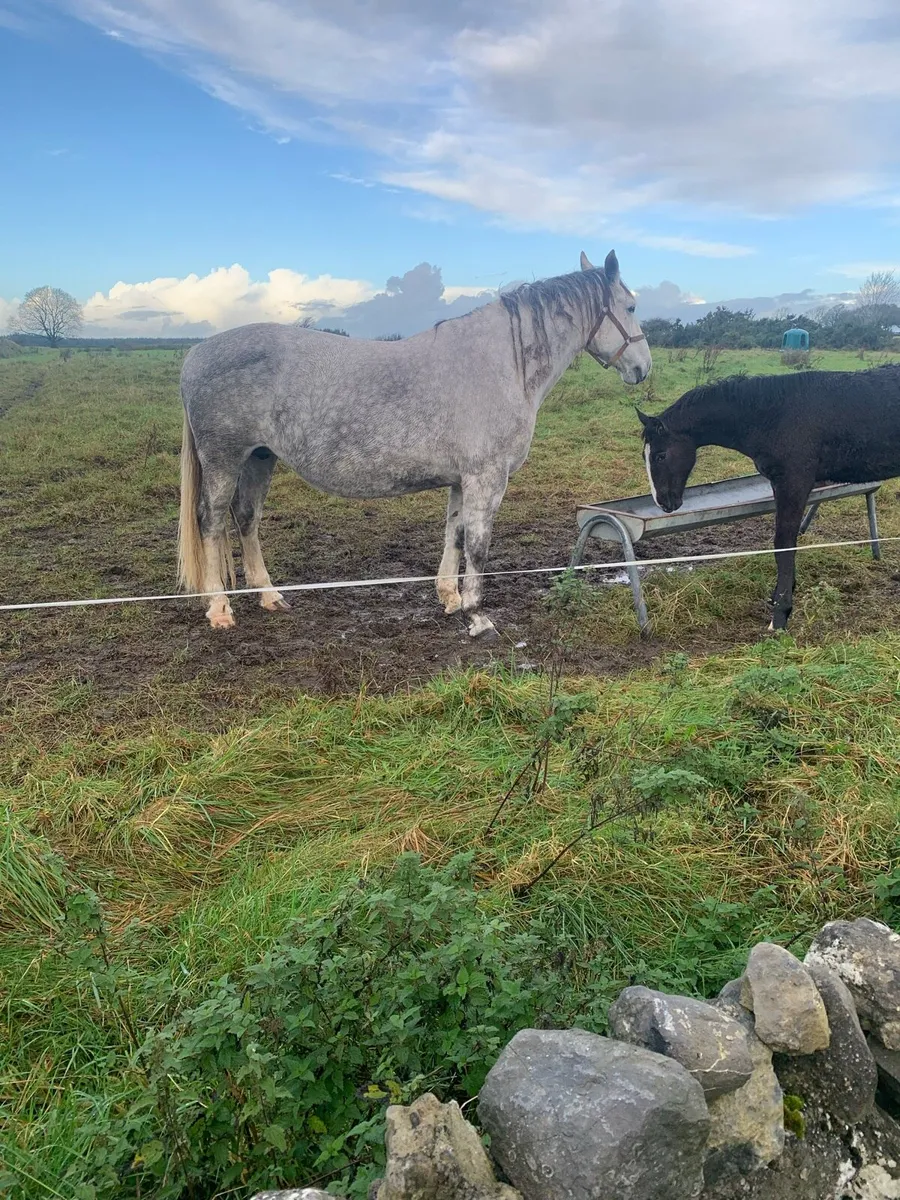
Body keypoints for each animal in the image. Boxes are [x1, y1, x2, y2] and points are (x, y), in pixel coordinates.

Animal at [178, 250, 651, 639]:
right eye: (630, 307)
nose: (643, 368)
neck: (501, 364)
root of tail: (196, 353)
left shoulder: (462, 479)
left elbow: (455, 534)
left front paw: (450, 599)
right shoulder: (486, 478)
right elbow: (478, 544)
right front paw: (477, 615)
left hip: (260, 457)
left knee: (247, 518)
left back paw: (269, 596)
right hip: (223, 459)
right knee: (212, 522)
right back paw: (219, 607)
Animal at [637, 365, 900, 631]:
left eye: (660, 455)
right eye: (644, 456)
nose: (664, 502)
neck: (773, 416)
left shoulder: (793, 483)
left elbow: (784, 543)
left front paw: (780, 615)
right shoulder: (779, 483)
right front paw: (779, 596)